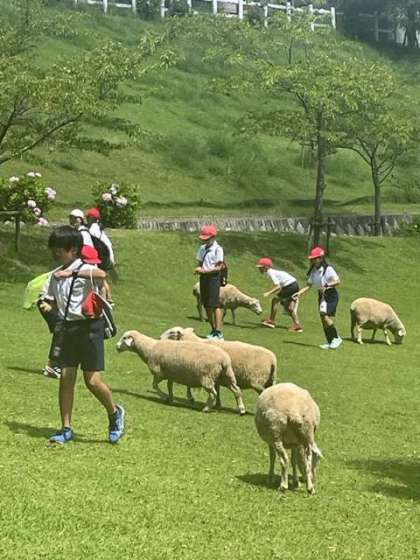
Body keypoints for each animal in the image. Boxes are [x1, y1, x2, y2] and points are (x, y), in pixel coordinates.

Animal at [116, 330, 246, 415]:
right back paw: (241, 409)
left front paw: (165, 397)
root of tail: (224, 359)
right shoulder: (170, 374)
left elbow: (154, 385)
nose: (116, 347)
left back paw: (206, 408)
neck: (150, 348)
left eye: (124, 338)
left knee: (213, 393)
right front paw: (170, 398)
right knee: (237, 390)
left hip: (207, 377)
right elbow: (169, 386)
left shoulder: (159, 373)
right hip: (226, 376)